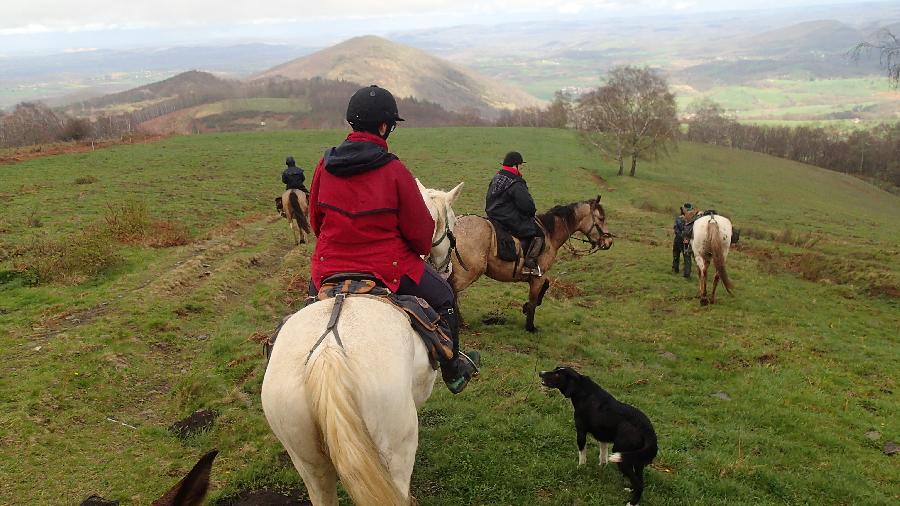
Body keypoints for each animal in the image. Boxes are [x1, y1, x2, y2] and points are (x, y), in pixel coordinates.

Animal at [448, 195, 612, 332]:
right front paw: (530, 326)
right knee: (453, 290)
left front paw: (525, 308)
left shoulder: (538, 276)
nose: (609, 241)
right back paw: (459, 323)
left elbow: (544, 288)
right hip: (469, 272)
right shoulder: (538, 277)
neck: (550, 234)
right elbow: (534, 299)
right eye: (601, 218)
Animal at [536, 366, 656, 504]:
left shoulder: (581, 432)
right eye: (555, 369)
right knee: (640, 480)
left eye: (557, 374)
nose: (540, 373)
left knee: (639, 483)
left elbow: (582, 454)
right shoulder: (602, 436)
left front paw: (581, 467)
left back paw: (632, 502)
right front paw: (601, 468)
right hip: (636, 459)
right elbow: (603, 456)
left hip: (622, 456)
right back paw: (630, 491)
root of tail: (648, 430)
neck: (583, 390)